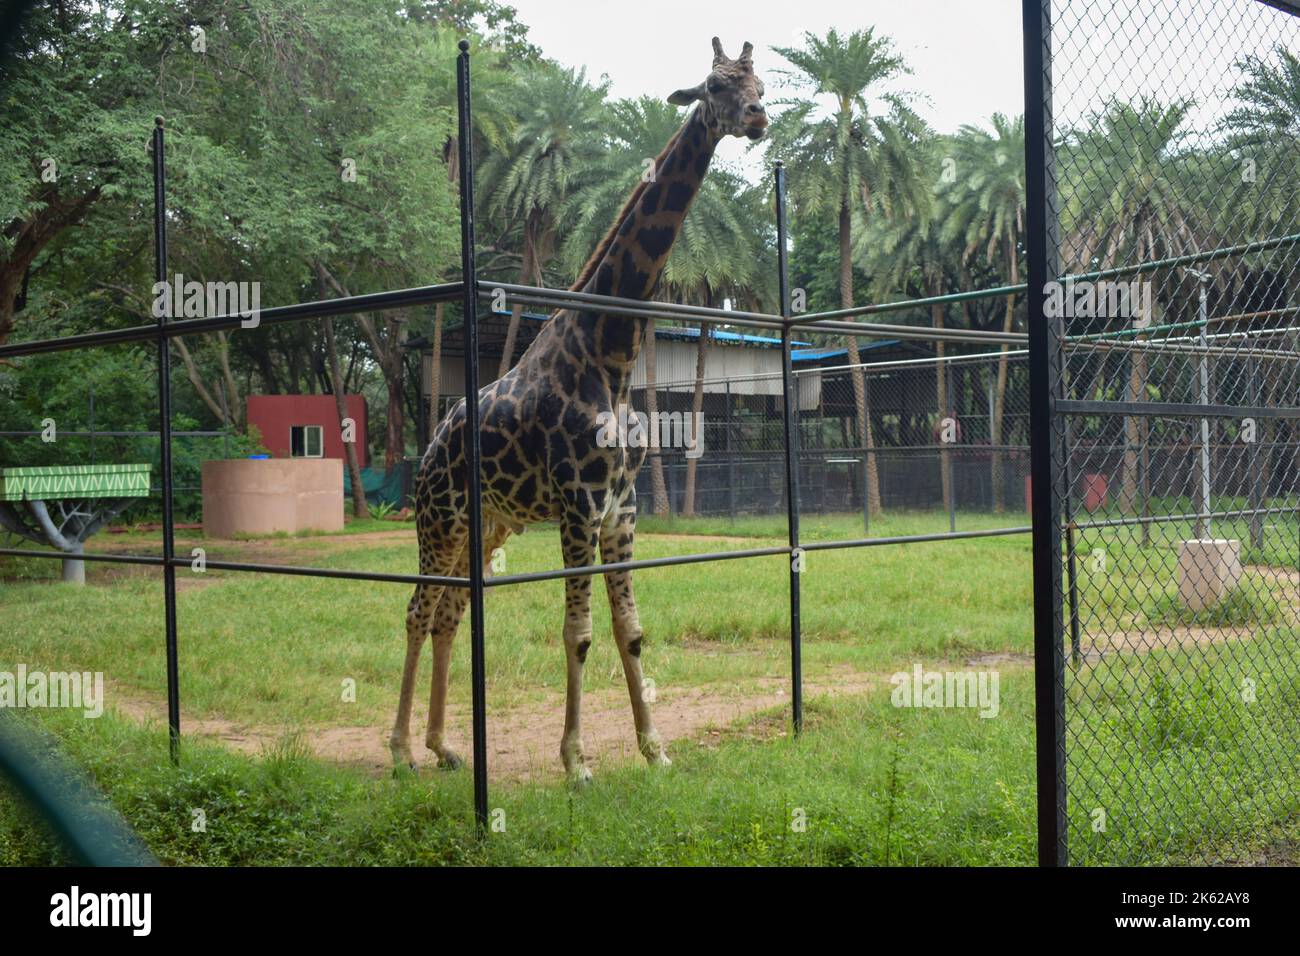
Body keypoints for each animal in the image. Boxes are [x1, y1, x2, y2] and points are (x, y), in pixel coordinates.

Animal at [390, 39, 764, 785]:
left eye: (761, 83)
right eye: (714, 85)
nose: (758, 118)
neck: (613, 354)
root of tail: (431, 443)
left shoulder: (622, 507)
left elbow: (631, 631)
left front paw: (655, 748)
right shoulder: (578, 505)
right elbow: (579, 633)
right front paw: (575, 762)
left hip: (486, 528)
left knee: (448, 614)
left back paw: (443, 746)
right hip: (438, 522)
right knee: (417, 610)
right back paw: (398, 750)